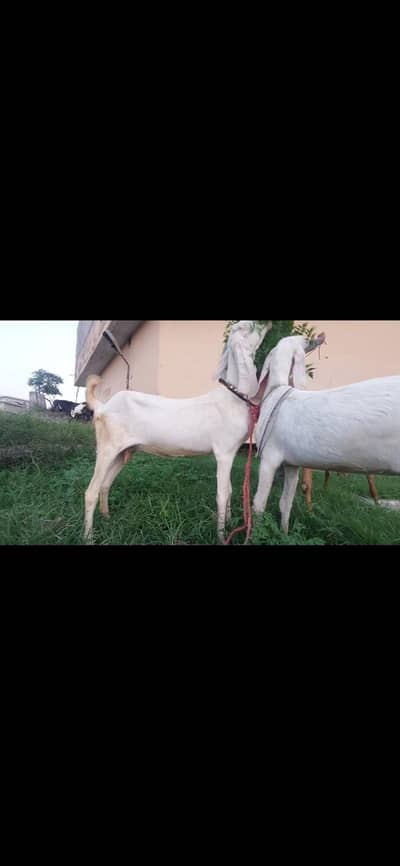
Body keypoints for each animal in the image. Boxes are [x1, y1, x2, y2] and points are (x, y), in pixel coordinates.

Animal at [83, 321, 271, 542]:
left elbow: (231, 491)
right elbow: (222, 494)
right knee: (91, 491)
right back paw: (88, 537)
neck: (232, 397)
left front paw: (231, 523)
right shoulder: (223, 452)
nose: (266, 324)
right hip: (107, 448)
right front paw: (221, 536)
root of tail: (103, 406)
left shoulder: (231, 451)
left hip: (123, 452)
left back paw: (107, 518)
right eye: (246, 327)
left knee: (105, 484)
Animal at [253, 335, 400, 533]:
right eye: (302, 342)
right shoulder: (291, 464)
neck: (276, 389)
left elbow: (258, 505)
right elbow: (285, 503)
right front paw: (284, 532)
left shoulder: (269, 458)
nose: (317, 338)